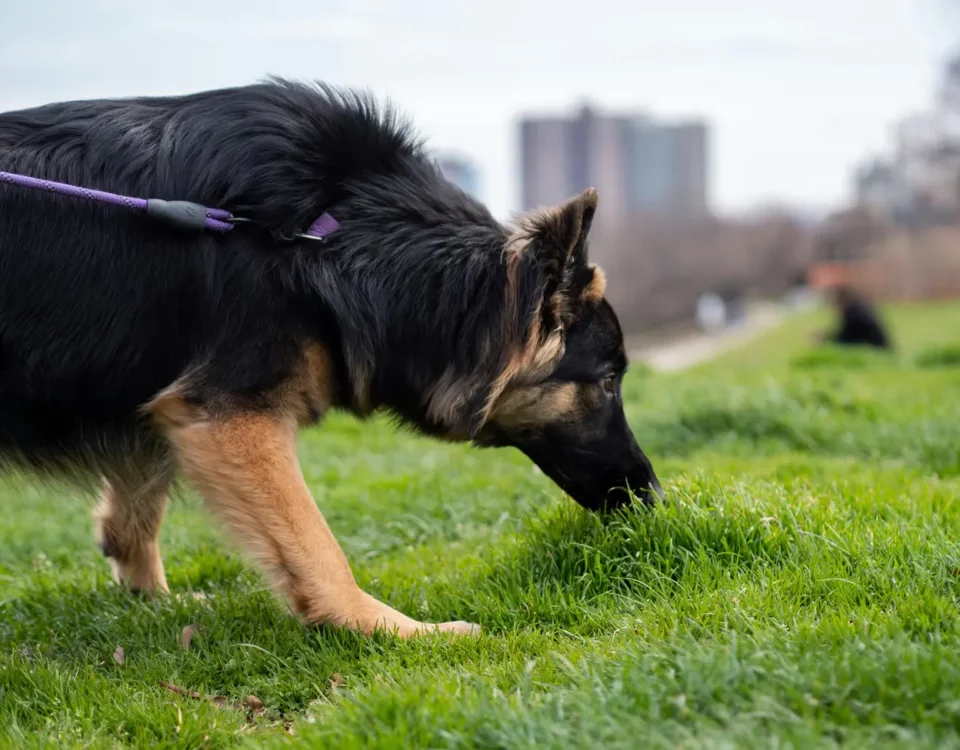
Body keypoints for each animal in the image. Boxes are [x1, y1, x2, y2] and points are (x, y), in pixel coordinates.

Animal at [0, 78, 660, 640]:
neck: (329, 238)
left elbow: (137, 501)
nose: (655, 497)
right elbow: (315, 546)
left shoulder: (172, 398)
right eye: (607, 382)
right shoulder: (232, 415)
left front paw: (149, 598)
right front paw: (389, 629)